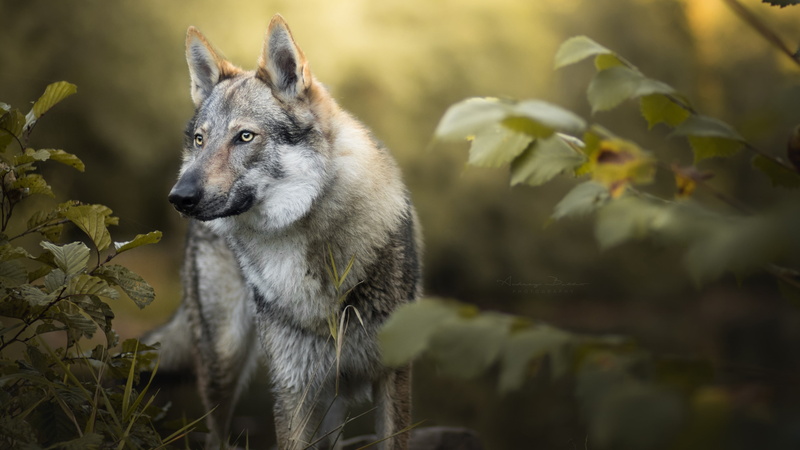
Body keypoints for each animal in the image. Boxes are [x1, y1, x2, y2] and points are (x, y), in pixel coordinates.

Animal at [151, 14, 422, 450]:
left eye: (245, 136)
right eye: (200, 139)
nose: (180, 197)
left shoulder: (392, 375)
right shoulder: (292, 388)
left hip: (329, 400)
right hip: (224, 360)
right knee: (216, 434)